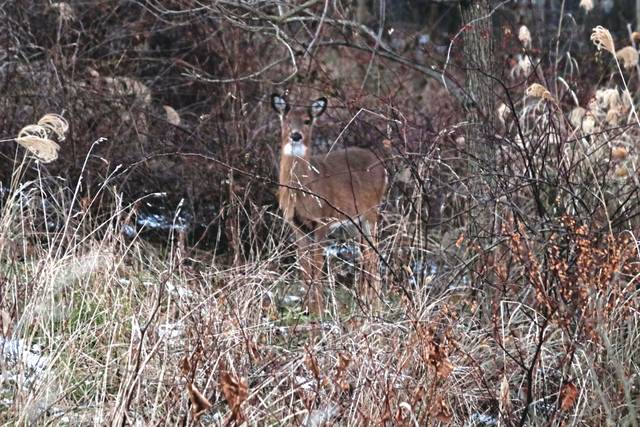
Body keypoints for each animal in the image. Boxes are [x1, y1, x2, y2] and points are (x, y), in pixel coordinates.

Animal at [270, 93, 387, 315]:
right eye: (287, 120)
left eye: (307, 120)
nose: (296, 135)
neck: (303, 191)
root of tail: (383, 165)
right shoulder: (296, 224)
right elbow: (304, 267)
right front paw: (307, 308)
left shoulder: (322, 220)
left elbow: (316, 266)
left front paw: (318, 310)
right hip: (355, 221)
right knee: (365, 254)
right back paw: (366, 301)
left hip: (371, 212)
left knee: (374, 254)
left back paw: (375, 305)